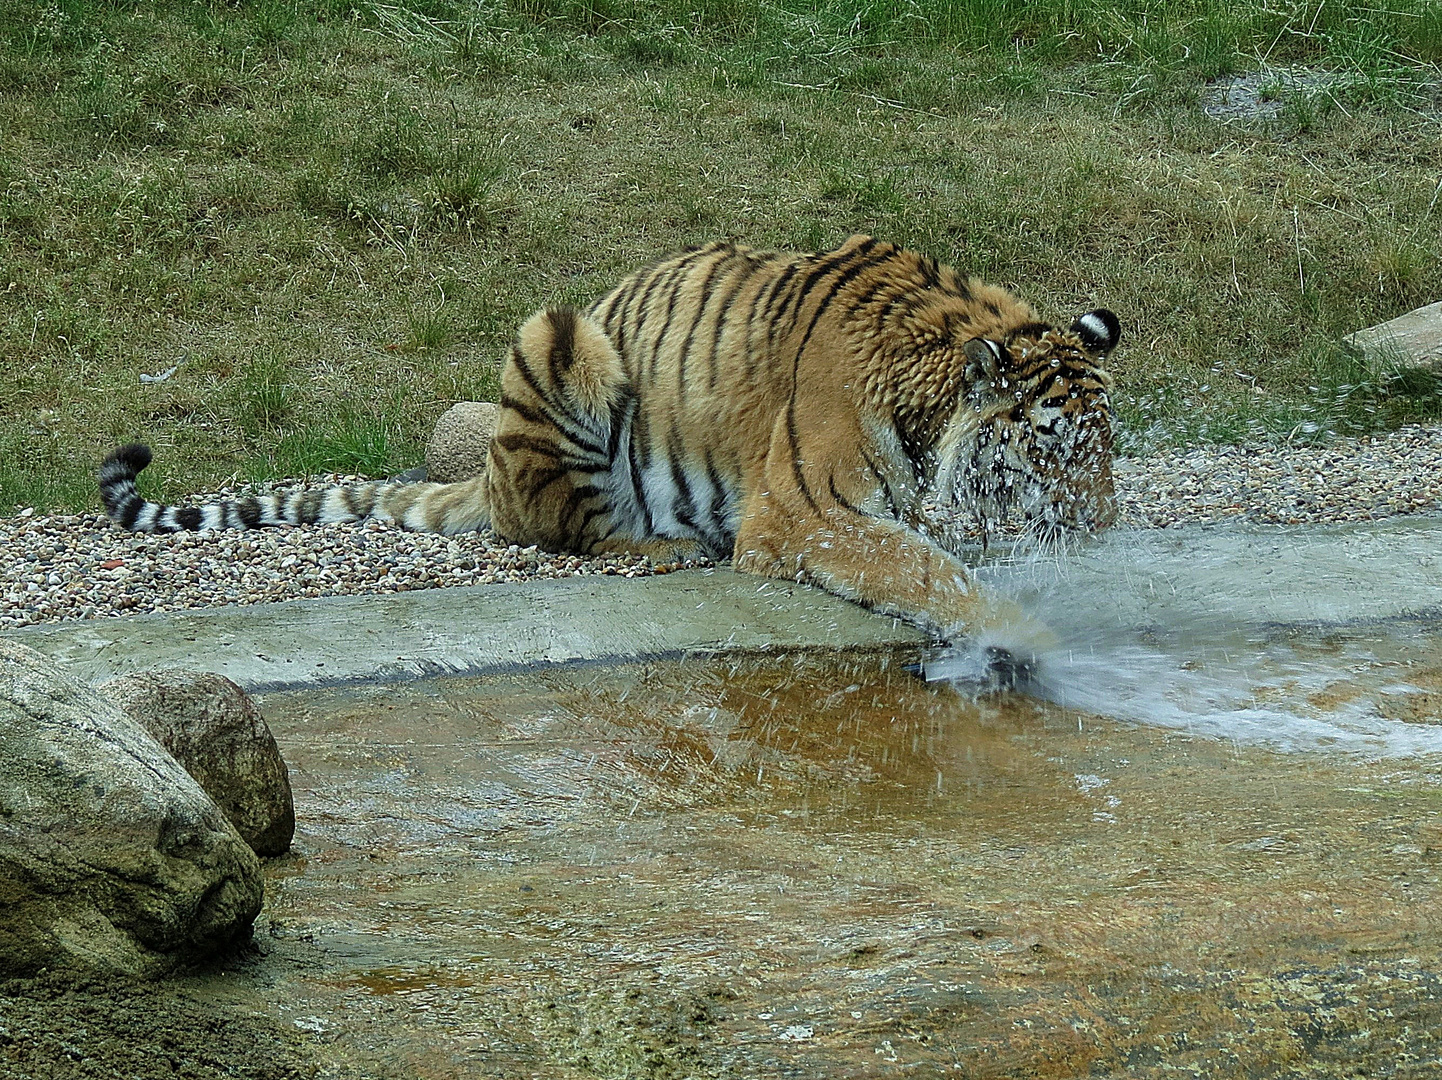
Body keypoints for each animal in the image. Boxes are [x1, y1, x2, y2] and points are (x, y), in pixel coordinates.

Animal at [101, 233, 1118, 674]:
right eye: (1054, 448)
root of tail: (488, 476)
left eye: (1108, 449)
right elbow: (932, 572)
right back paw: (663, 546)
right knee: (563, 532)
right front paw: (1041, 639)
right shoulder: (810, 514)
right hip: (560, 339)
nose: (1105, 529)